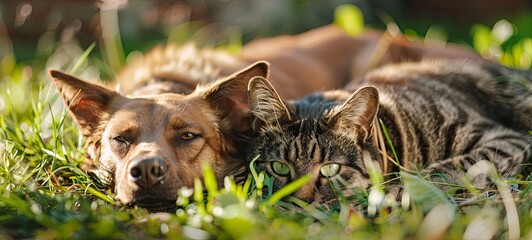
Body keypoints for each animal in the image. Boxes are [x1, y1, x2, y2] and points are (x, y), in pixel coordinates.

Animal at [248, 59, 532, 204]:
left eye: (331, 169)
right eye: (279, 167)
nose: (301, 202)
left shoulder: (507, 139)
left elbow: (450, 168)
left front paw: (399, 191)